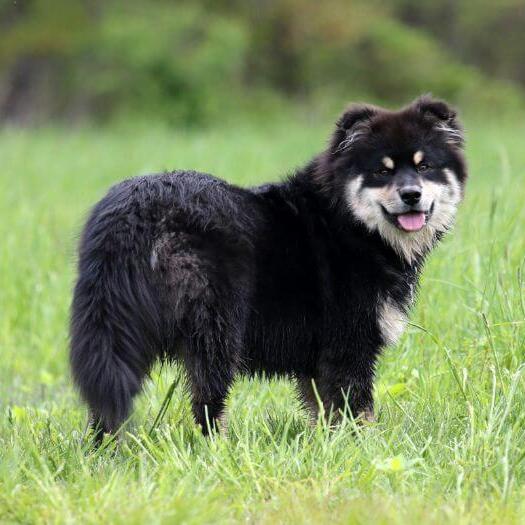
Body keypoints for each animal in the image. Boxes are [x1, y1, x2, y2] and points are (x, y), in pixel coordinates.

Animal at [69, 95, 466, 438]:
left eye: (424, 166)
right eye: (381, 172)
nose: (411, 195)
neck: (349, 223)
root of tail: (132, 212)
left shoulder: (317, 362)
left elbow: (325, 413)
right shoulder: (350, 346)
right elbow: (358, 410)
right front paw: (366, 448)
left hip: (115, 327)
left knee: (107, 401)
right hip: (216, 329)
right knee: (207, 403)